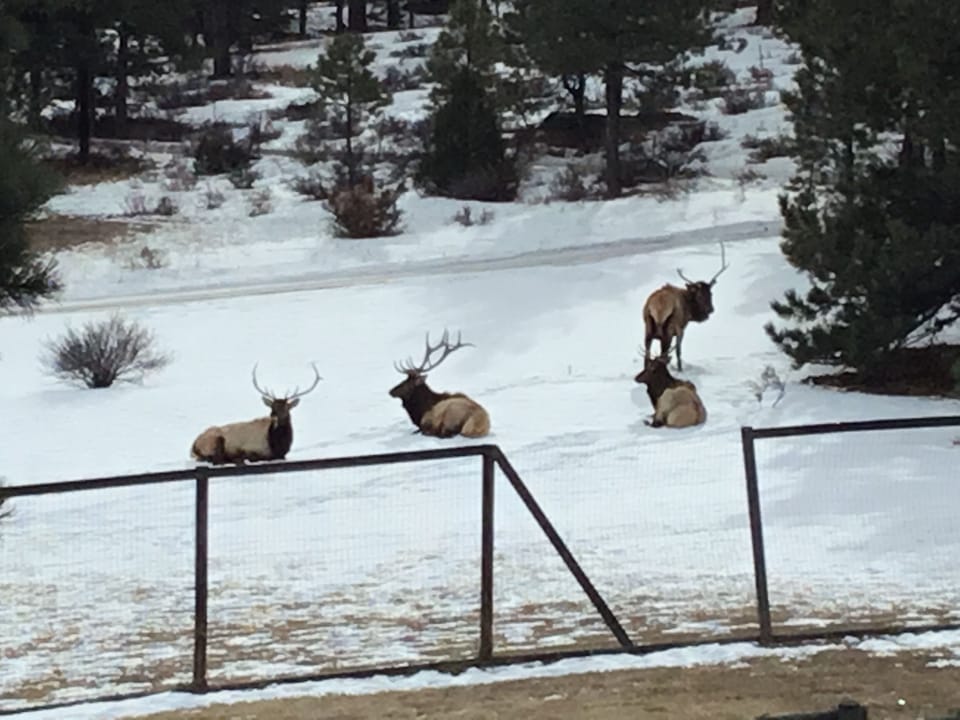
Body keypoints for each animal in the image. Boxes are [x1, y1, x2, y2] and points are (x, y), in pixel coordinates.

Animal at [191, 363, 322, 465]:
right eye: (272, 407)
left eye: (286, 408)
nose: (273, 415)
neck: (277, 444)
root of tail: (193, 446)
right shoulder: (250, 448)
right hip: (216, 440)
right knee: (216, 460)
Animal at [643, 241, 729, 371]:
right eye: (699, 296)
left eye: (711, 293)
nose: (711, 309)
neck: (690, 313)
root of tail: (656, 307)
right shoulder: (680, 330)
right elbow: (678, 351)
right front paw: (680, 369)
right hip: (667, 332)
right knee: (663, 355)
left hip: (648, 329)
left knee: (647, 356)